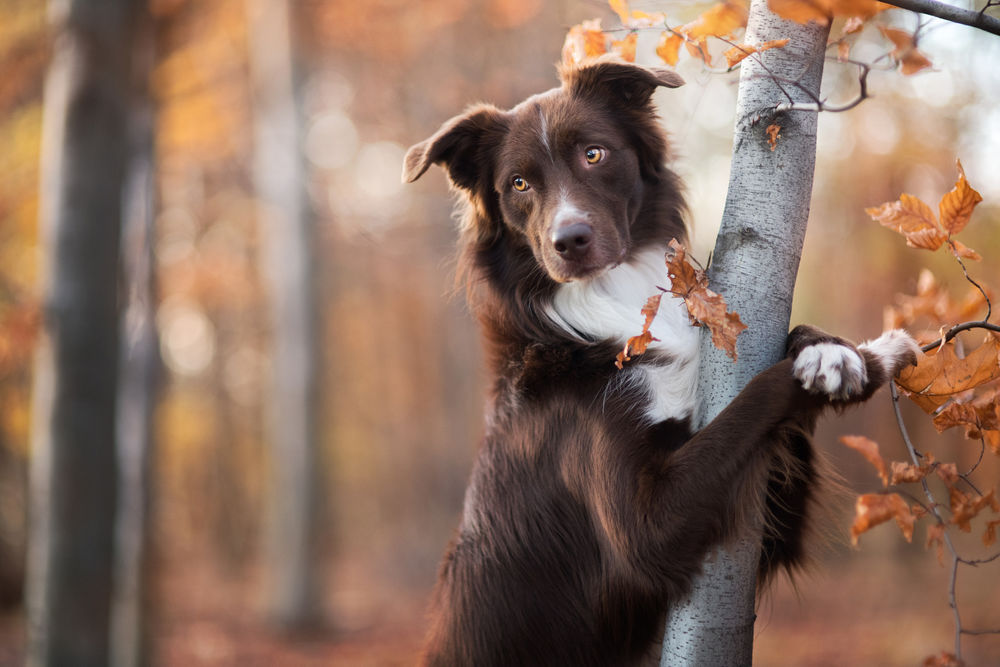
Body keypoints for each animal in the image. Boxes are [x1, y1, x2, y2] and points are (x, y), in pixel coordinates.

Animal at [402, 57, 916, 667]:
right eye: (519, 184)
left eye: (594, 153)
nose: (569, 240)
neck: (610, 302)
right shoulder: (646, 529)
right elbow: (755, 398)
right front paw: (878, 354)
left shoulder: (770, 540)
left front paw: (827, 350)